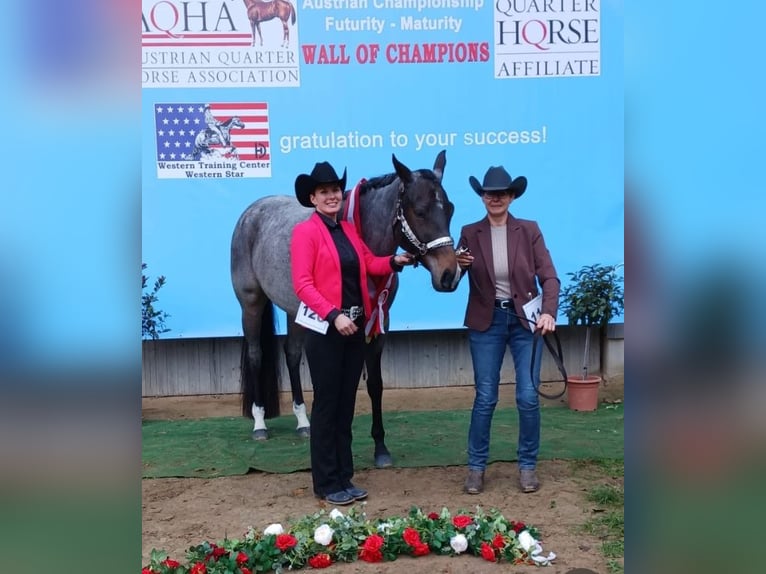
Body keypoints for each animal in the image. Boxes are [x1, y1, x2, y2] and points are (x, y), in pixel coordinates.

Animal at [230, 150, 459, 467]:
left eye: (449, 209)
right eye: (420, 211)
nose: (450, 275)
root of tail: (252, 212)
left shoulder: (380, 322)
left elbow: (375, 384)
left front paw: (381, 448)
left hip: (295, 311)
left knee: (292, 354)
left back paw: (303, 422)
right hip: (251, 303)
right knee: (256, 355)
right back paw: (260, 424)